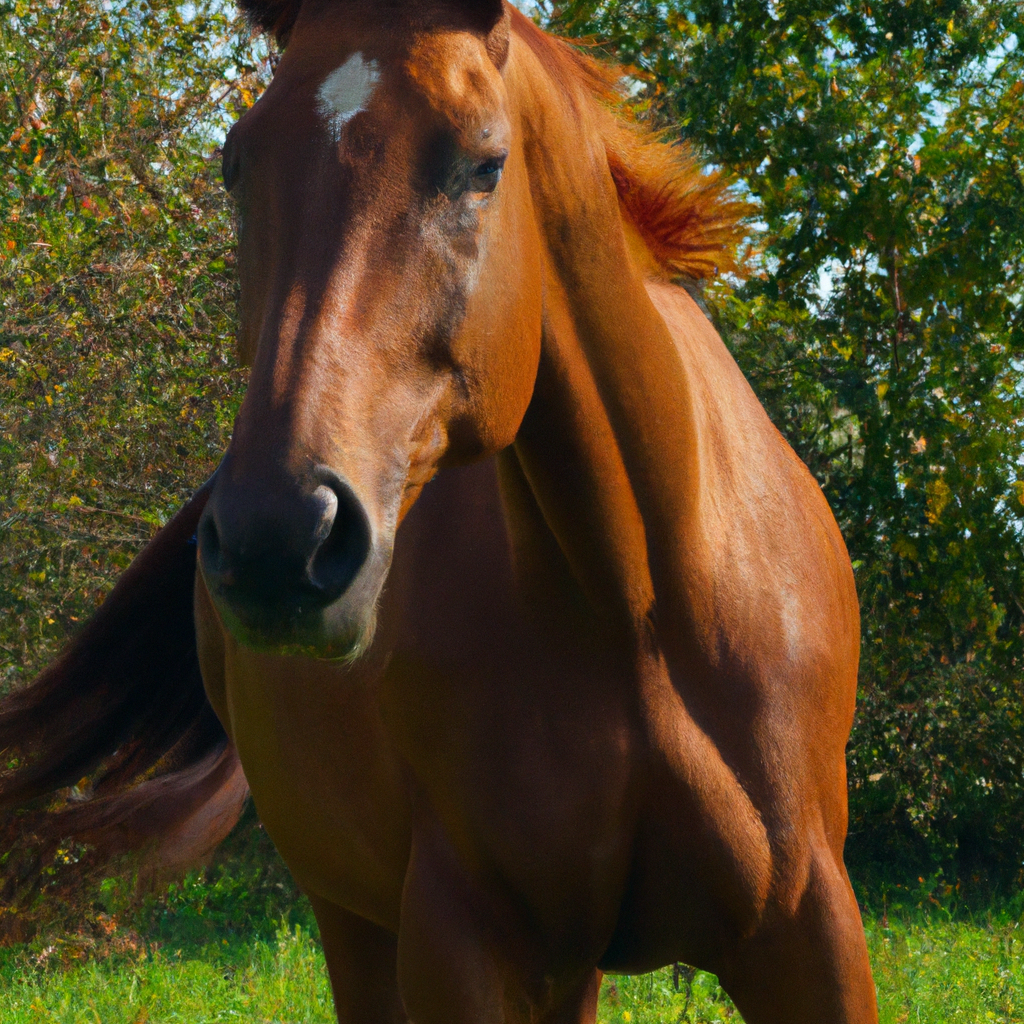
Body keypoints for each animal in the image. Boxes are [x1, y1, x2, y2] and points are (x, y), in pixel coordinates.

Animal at [0, 4, 880, 1019]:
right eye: (236, 162)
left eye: (483, 164)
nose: (276, 543)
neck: (644, 604)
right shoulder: (459, 941)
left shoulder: (809, 930)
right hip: (354, 918)